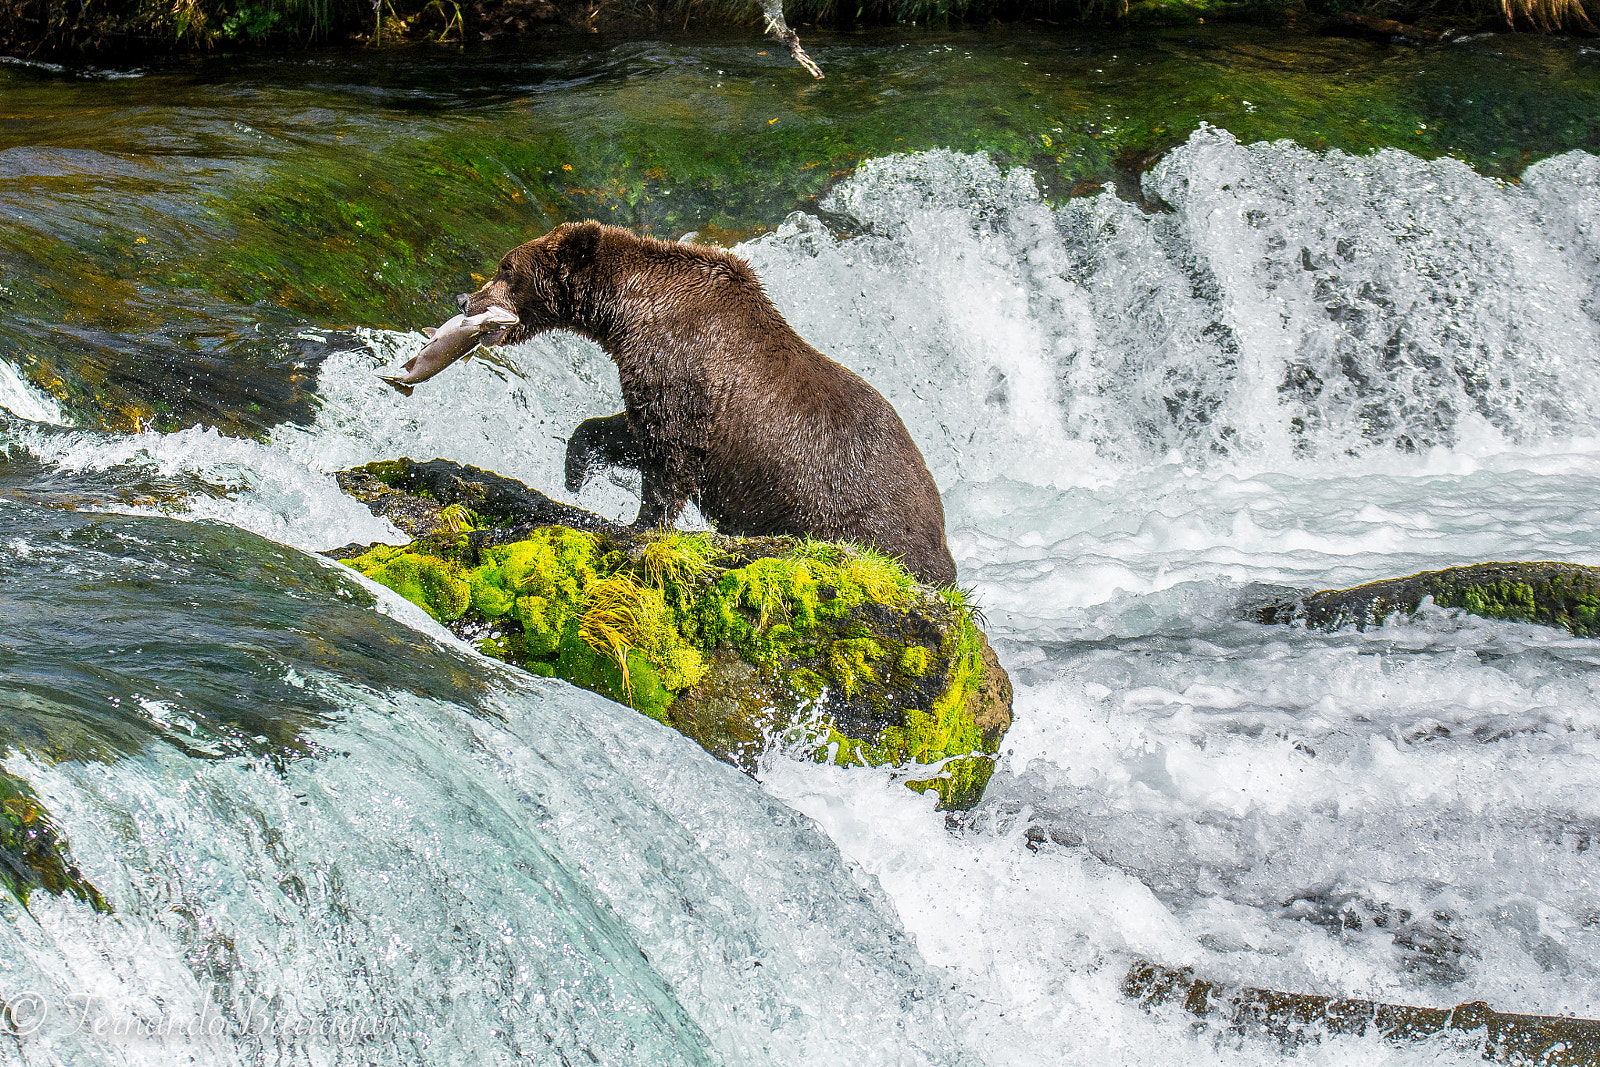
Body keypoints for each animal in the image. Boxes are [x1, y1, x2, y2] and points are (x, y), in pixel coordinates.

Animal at [457, 220, 958, 588]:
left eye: (506, 268)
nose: (465, 298)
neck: (630, 312)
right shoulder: (658, 381)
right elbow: (626, 431)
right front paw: (576, 473)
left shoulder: (682, 371)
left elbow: (668, 460)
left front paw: (637, 528)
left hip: (855, 517)